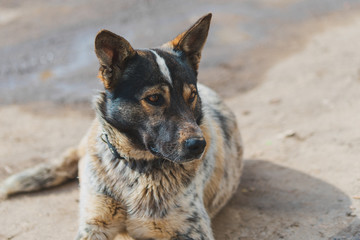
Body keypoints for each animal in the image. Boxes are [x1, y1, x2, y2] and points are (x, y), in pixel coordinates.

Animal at [0, 13, 242, 240]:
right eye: (154, 98)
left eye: (191, 96)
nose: (198, 145)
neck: (137, 167)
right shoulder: (94, 224)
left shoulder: (192, 231)